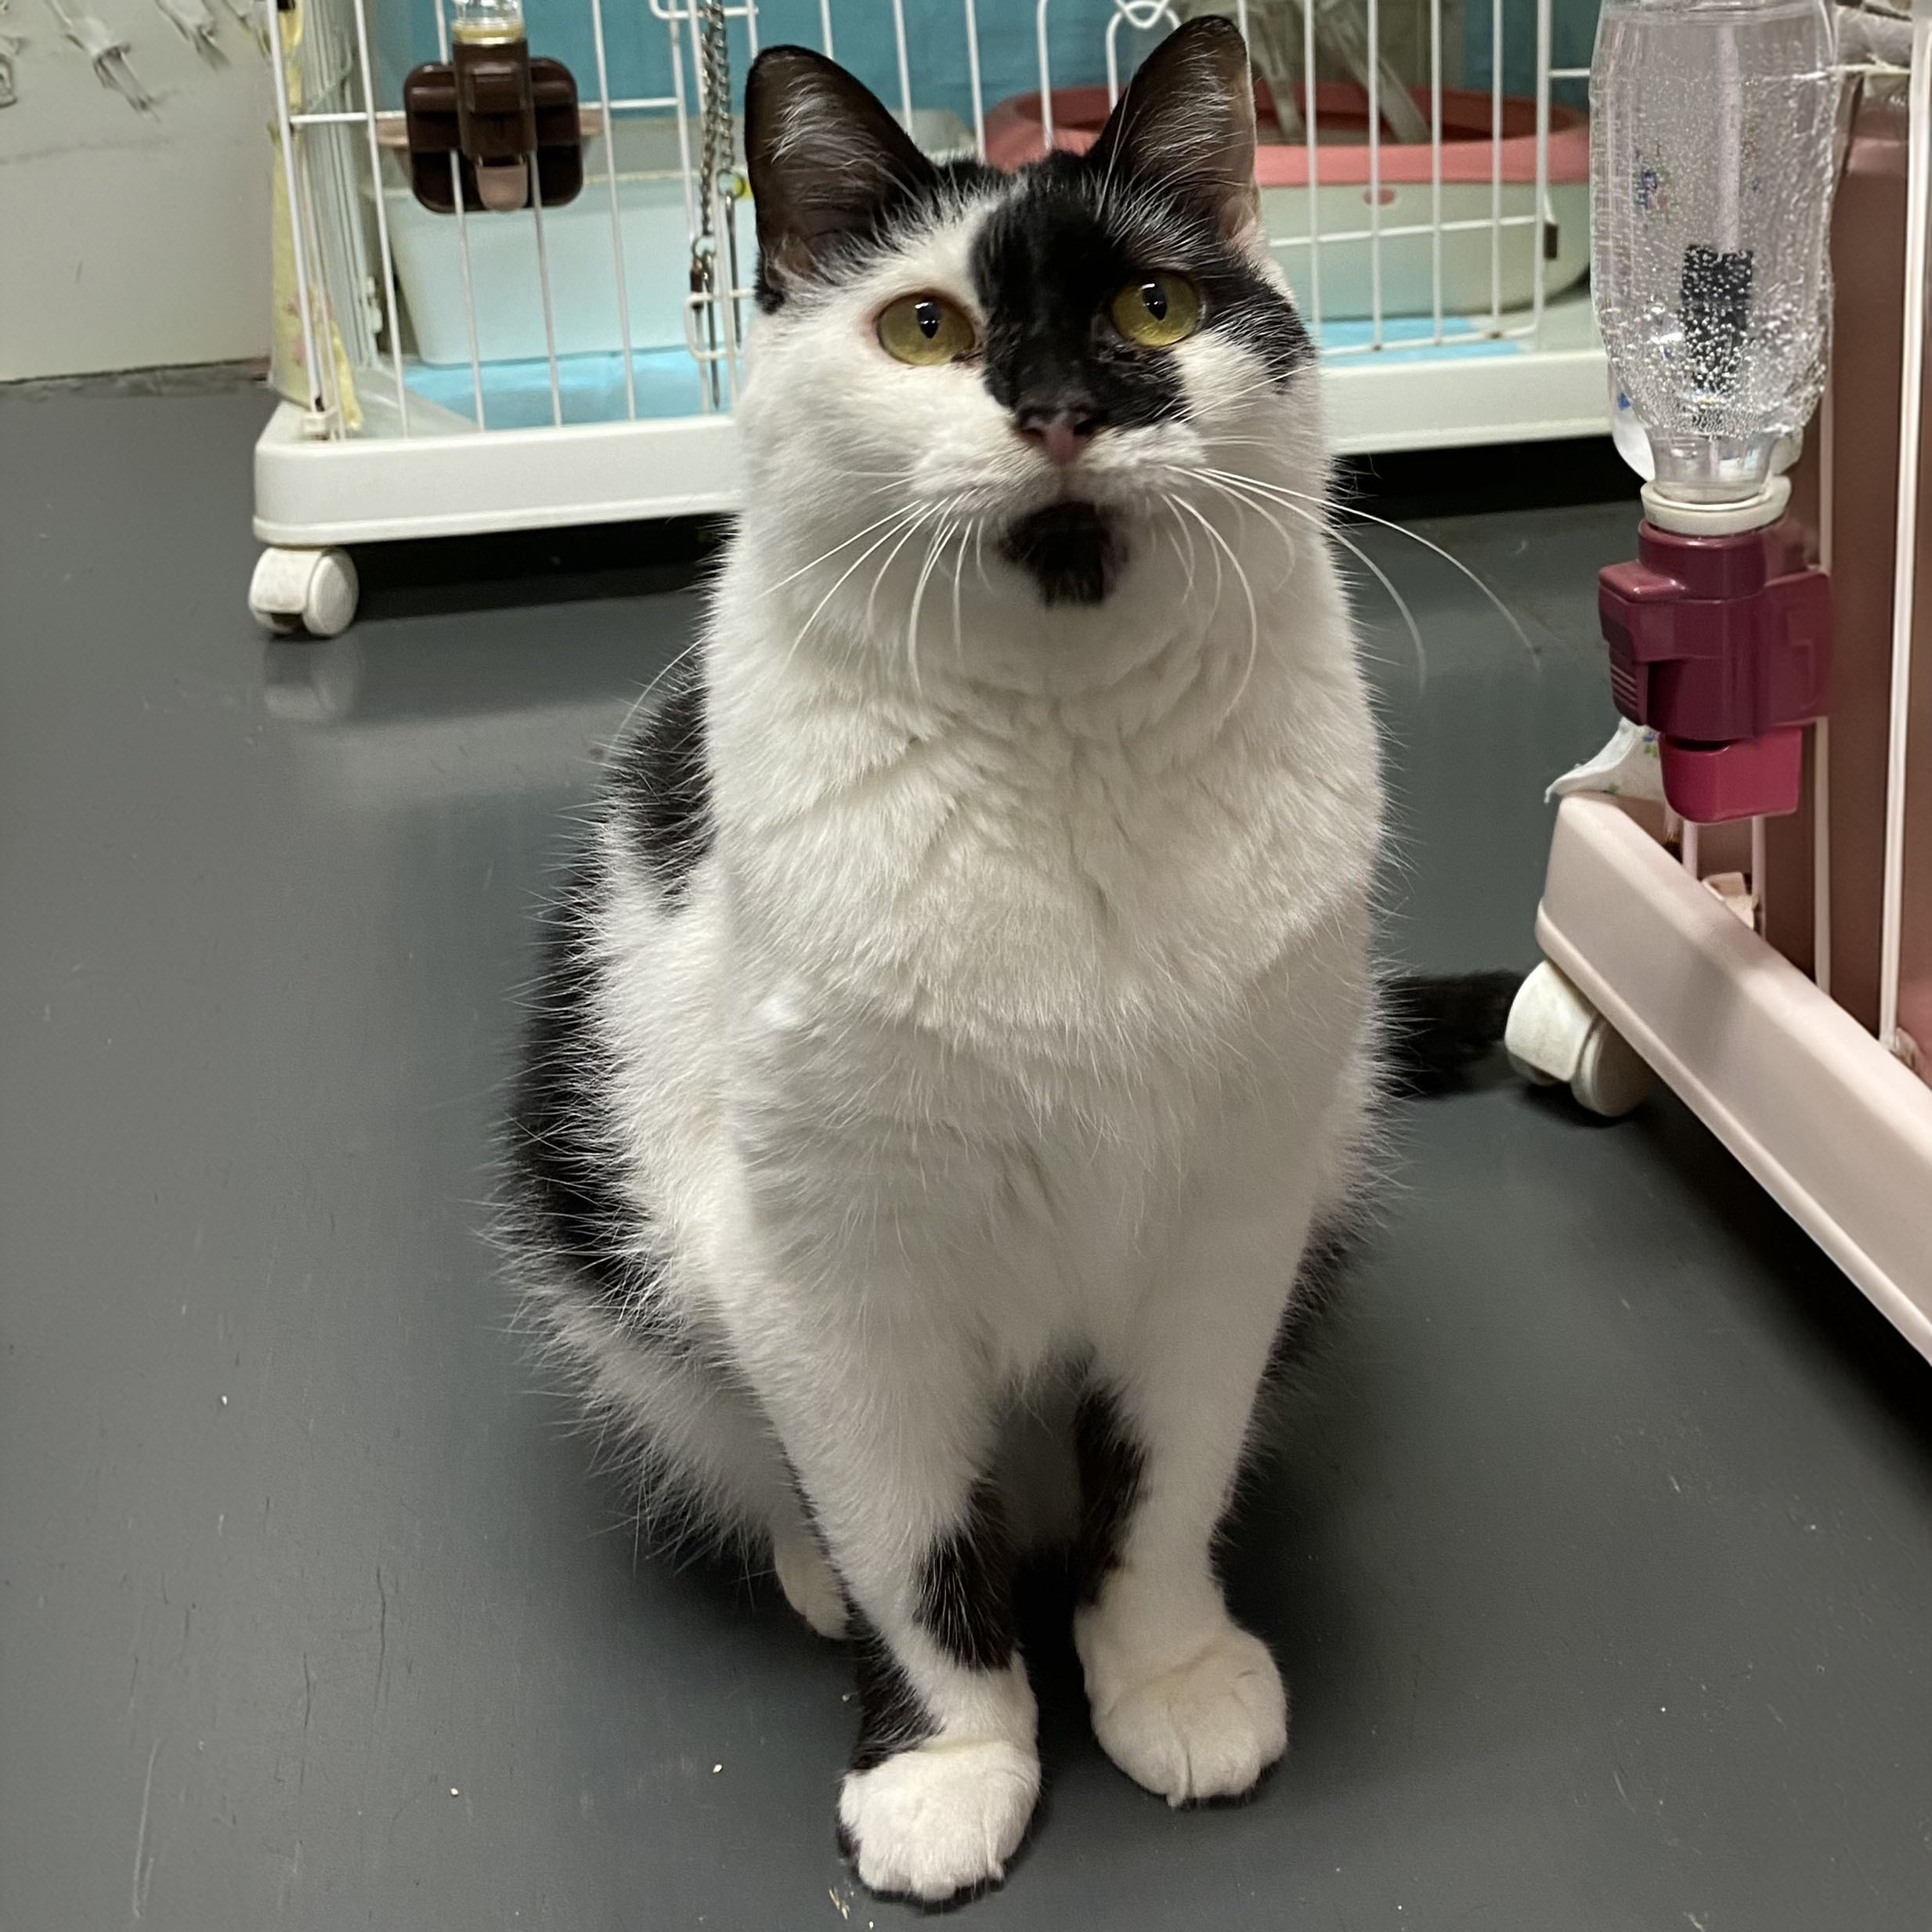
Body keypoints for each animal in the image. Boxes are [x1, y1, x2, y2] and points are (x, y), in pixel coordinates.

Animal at [504, 19, 1507, 1903]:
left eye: (1155, 311)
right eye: (924, 328)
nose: (1058, 409)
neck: (1069, 760)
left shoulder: (1226, 1226)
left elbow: (1166, 1482)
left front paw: (1165, 1674)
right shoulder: (826, 1269)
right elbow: (907, 1544)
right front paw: (947, 1760)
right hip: (618, 1253)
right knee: (784, 1474)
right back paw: (805, 1565)